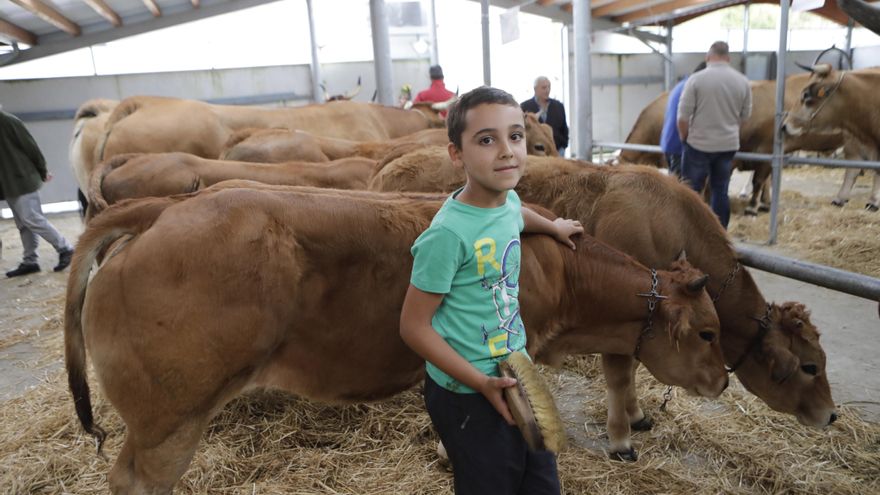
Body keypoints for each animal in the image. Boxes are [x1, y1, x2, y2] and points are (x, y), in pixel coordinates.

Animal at [370, 149, 840, 448]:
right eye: (810, 366)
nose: (832, 415)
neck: (670, 222)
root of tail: (396, 158)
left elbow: (630, 371)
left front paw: (637, 416)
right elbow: (619, 374)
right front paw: (621, 437)